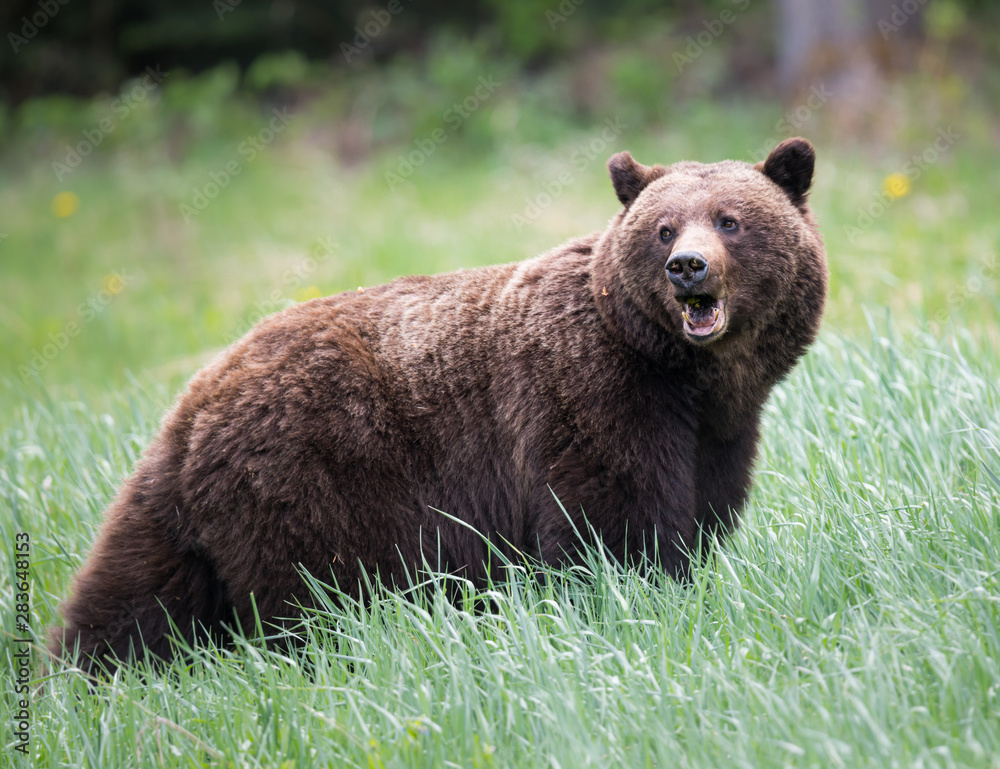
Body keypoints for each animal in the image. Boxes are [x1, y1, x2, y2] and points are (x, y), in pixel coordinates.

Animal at [49, 138, 826, 675]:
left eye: (729, 220)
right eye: (663, 227)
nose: (686, 267)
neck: (689, 375)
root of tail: (191, 406)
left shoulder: (718, 433)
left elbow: (702, 509)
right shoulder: (595, 395)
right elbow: (611, 522)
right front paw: (636, 595)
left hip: (179, 514)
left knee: (135, 598)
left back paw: (86, 675)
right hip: (313, 477)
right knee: (311, 597)